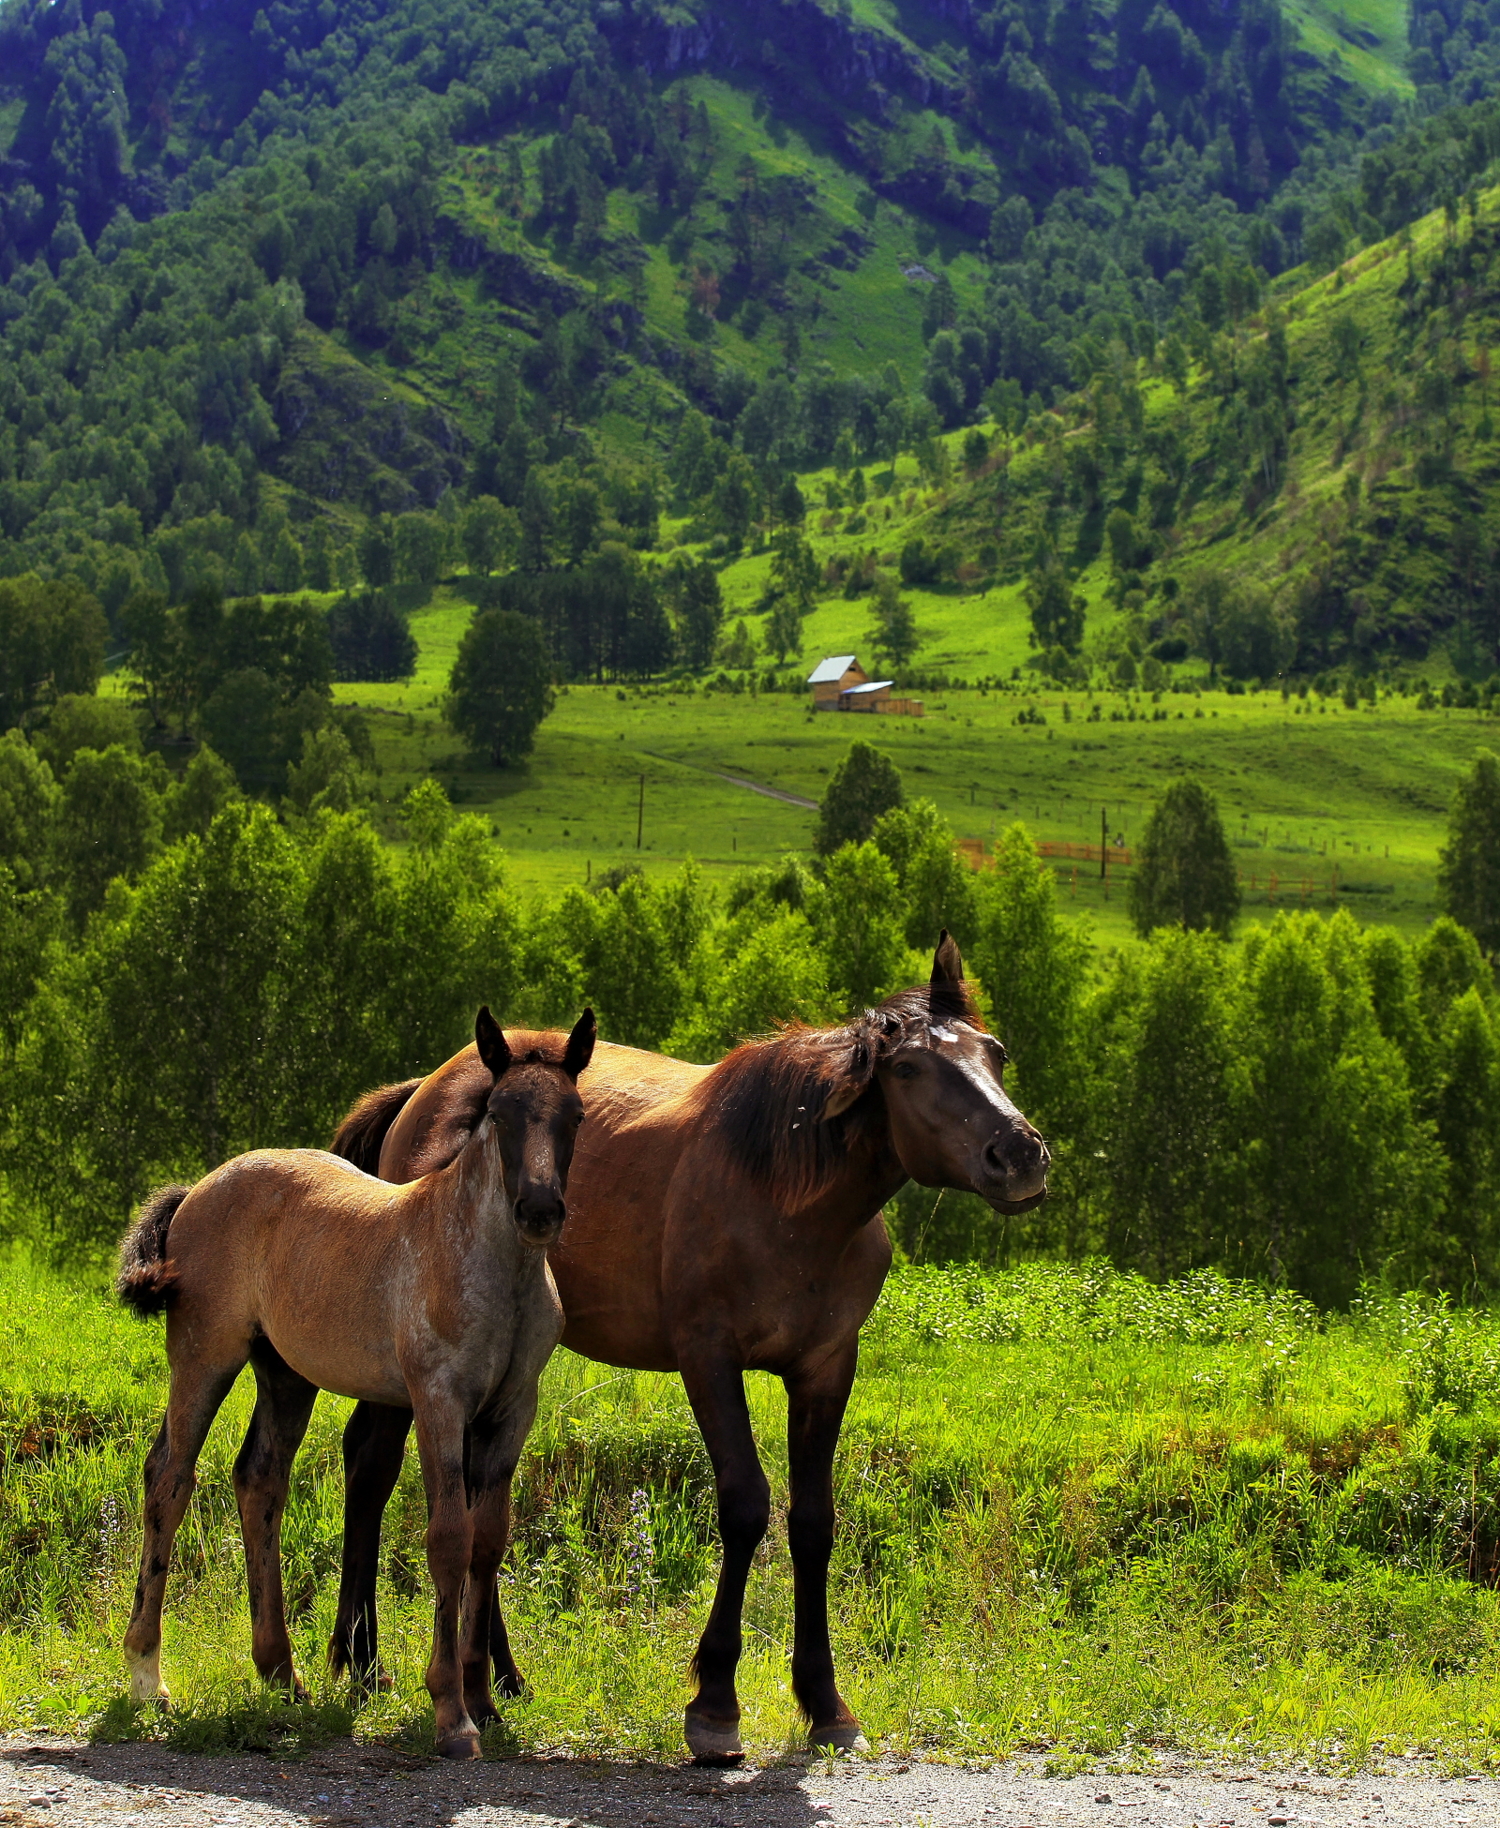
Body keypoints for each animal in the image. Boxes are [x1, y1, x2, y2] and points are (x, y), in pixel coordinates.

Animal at [115, 1009, 591, 1762]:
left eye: (574, 1114)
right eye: (499, 1113)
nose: (539, 1209)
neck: (491, 1267)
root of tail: (197, 1189)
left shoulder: (513, 1409)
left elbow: (489, 1541)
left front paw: (485, 1698)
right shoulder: (438, 1400)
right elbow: (449, 1537)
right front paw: (450, 1712)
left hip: (284, 1373)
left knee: (259, 1479)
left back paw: (282, 1672)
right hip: (203, 1354)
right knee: (170, 1477)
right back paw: (147, 1677)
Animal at [327, 935, 1045, 1762]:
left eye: (995, 1054)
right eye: (907, 1070)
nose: (1019, 1154)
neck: (784, 1198)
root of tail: (423, 1092)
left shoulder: (827, 1367)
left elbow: (813, 1520)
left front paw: (824, 1700)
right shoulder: (709, 1359)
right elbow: (745, 1506)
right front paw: (715, 1703)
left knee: (471, 1497)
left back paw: (495, 1678)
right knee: (373, 1468)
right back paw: (365, 1663)